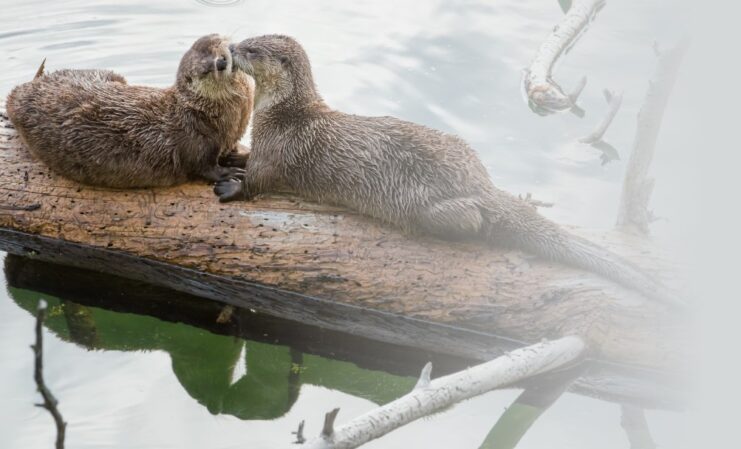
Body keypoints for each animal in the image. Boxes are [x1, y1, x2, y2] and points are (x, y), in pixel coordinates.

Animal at [4, 34, 254, 188]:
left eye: (217, 47)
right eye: (205, 70)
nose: (221, 62)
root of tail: (22, 90)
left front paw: (237, 157)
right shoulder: (195, 142)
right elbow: (203, 166)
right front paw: (229, 173)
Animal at [218, 33, 676, 302]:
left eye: (252, 49)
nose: (231, 49)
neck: (282, 113)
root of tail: (482, 183)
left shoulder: (281, 147)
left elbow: (260, 179)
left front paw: (230, 186)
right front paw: (230, 157)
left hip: (434, 207)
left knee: (472, 221)